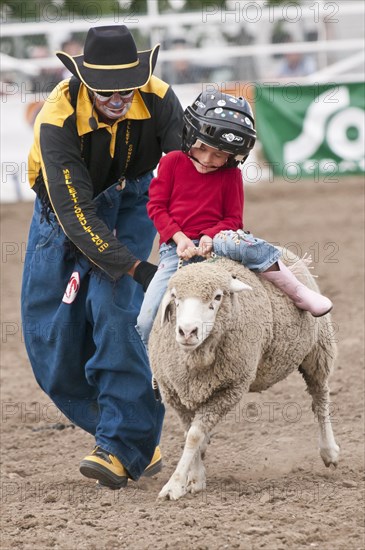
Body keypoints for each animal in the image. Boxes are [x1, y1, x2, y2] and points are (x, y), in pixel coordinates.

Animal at [147, 252, 338, 502]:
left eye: (218, 297)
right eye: (176, 298)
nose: (187, 332)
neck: (197, 359)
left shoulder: (229, 390)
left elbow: (194, 436)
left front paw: (174, 485)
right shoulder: (175, 393)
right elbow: (191, 434)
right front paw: (195, 478)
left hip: (318, 349)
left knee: (321, 399)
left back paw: (329, 451)